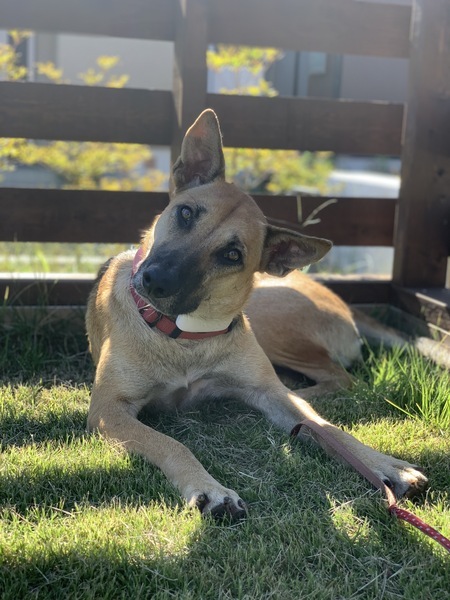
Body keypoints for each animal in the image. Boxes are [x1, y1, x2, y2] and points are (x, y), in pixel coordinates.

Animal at [86, 109, 427, 519]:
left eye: (232, 255)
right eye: (185, 213)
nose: (155, 280)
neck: (184, 336)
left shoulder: (270, 394)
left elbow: (329, 428)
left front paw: (384, 463)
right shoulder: (109, 409)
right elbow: (170, 443)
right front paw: (209, 488)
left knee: (336, 378)